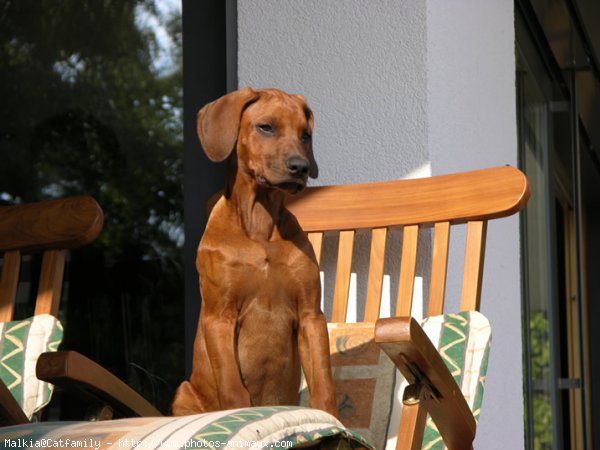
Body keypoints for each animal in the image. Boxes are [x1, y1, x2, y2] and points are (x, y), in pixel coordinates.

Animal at [173, 87, 340, 418]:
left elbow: (324, 387)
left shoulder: (311, 316)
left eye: (305, 135)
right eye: (266, 127)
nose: (300, 167)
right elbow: (233, 390)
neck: (260, 226)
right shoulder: (219, 316)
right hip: (183, 392)